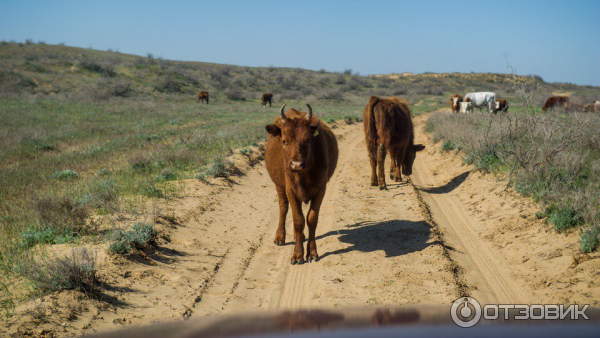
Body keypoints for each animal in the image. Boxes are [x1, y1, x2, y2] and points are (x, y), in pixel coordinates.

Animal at [264, 103, 338, 264]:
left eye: (308, 140)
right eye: (284, 141)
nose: (296, 165)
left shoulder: (320, 190)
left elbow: (311, 219)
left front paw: (312, 252)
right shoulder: (290, 190)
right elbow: (298, 220)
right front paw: (298, 255)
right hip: (279, 186)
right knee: (283, 208)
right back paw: (280, 236)